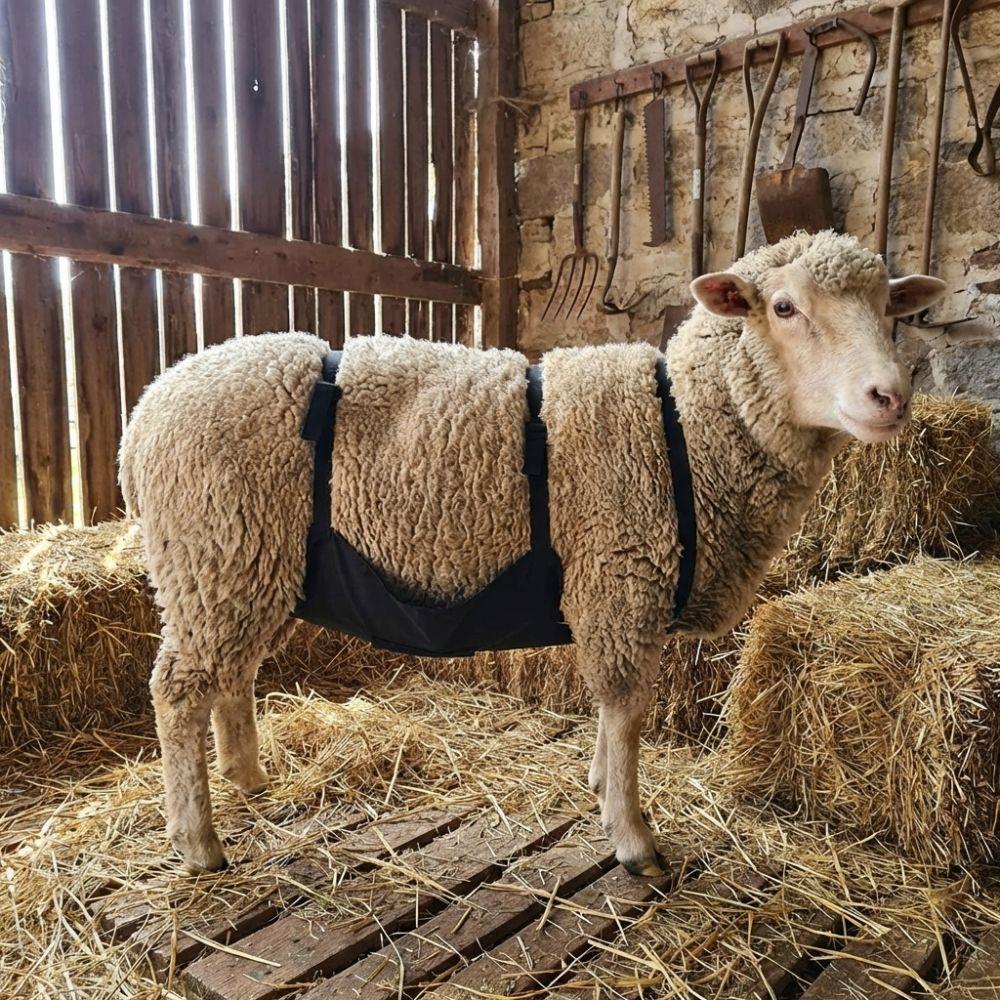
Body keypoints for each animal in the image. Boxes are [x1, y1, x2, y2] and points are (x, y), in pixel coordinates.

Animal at [119, 230, 945, 876]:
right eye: (783, 308)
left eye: (890, 310)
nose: (890, 397)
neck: (684, 425)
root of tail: (150, 405)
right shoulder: (620, 575)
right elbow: (627, 708)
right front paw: (633, 837)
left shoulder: (620, 593)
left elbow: (614, 714)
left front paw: (603, 785)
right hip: (213, 550)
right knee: (179, 691)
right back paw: (198, 842)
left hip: (244, 564)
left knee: (231, 676)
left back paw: (249, 777)